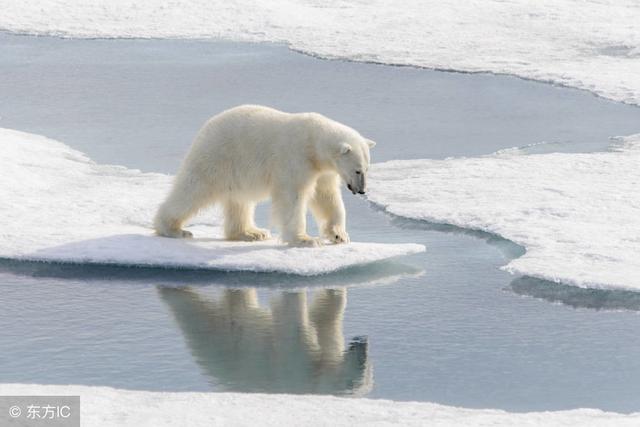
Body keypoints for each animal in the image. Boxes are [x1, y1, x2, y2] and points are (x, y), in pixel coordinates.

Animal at [154, 104, 376, 249]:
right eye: (357, 170)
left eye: (367, 169)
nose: (361, 190)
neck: (313, 143)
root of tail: (204, 129)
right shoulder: (294, 158)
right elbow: (292, 197)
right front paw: (306, 239)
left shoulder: (323, 170)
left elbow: (326, 197)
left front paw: (340, 235)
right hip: (218, 157)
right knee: (193, 190)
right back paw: (174, 229)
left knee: (239, 201)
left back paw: (251, 233)